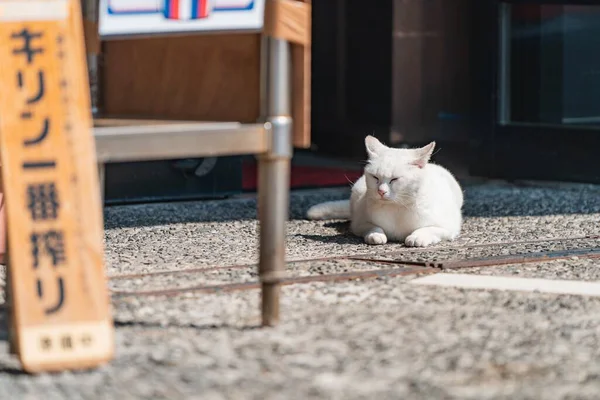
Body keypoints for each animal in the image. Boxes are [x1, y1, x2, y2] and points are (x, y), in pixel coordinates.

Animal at [304, 136, 464, 245]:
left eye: (394, 179)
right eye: (375, 177)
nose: (381, 191)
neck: (397, 207)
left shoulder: (448, 227)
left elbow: (428, 229)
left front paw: (417, 237)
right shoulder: (359, 224)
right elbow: (373, 227)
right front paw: (376, 235)